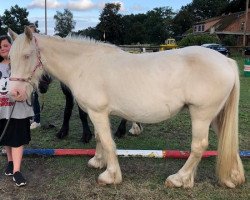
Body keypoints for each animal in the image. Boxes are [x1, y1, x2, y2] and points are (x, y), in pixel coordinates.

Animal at [7, 27, 244, 188]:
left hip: (201, 114)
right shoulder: (96, 114)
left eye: (27, 56)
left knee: (198, 146)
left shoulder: (97, 112)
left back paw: (179, 179)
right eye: (9, 57)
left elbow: (107, 142)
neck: (84, 64)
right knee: (225, 141)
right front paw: (98, 161)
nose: (15, 93)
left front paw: (110, 175)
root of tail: (226, 61)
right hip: (217, 116)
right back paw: (232, 177)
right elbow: (99, 138)